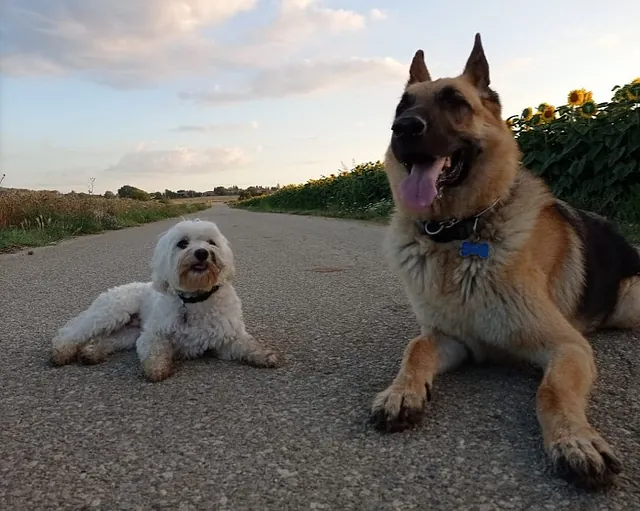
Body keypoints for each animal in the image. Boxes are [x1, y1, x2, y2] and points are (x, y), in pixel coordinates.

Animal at [50, 218, 280, 382]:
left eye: (211, 242)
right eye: (182, 243)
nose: (202, 253)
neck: (195, 300)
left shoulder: (225, 338)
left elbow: (247, 344)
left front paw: (265, 355)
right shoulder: (152, 334)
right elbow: (155, 349)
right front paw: (157, 368)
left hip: (128, 332)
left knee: (106, 339)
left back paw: (90, 353)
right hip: (112, 313)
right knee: (72, 331)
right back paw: (62, 352)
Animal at [370, 34, 640, 490]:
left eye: (454, 101)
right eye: (402, 106)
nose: (403, 128)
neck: (461, 235)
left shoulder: (568, 346)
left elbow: (551, 390)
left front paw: (575, 441)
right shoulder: (449, 338)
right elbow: (416, 348)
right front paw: (401, 392)